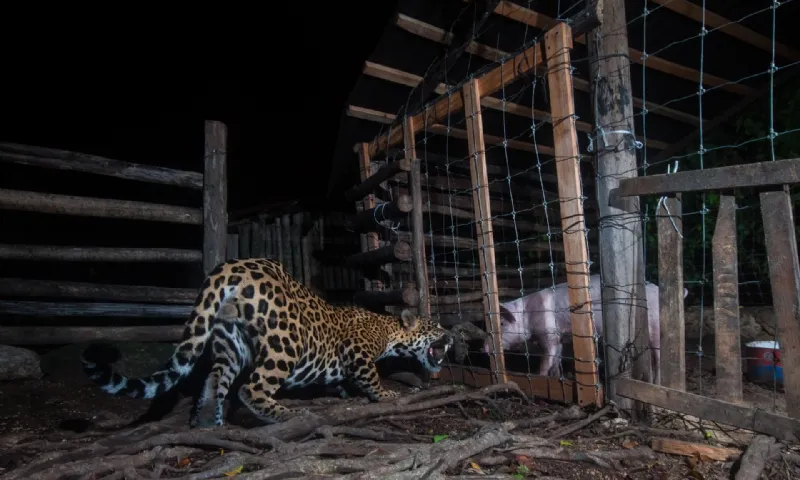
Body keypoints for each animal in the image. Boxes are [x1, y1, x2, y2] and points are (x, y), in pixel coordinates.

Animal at [482, 276, 688, 384]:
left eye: (502, 324)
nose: (482, 348)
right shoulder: (559, 337)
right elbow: (556, 360)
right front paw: (558, 378)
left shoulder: (548, 333)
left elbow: (545, 360)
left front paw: (540, 378)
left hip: (655, 324)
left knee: (658, 356)